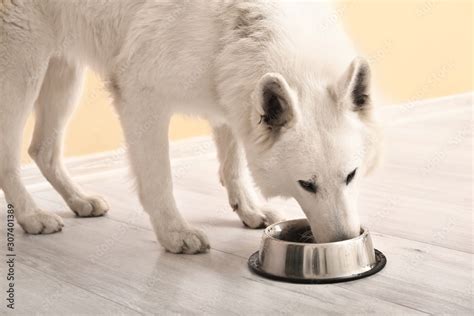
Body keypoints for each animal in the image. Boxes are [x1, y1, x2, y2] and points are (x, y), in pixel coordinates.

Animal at [0, 0, 382, 253]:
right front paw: (174, 233)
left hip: (63, 73)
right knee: (11, 158)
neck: (244, 25)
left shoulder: (229, 97)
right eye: (306, 185)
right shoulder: (141, 96)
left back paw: (78, 200)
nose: (345, 242)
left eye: (351, 176)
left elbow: (232, 165)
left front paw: (249, 210)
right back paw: (32, 216)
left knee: (42, 150)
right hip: (23, 68)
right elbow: (159, 180)